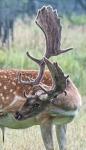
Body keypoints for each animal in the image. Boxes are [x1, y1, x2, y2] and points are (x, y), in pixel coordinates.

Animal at [0, 6, 81, 150]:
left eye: (36, 103)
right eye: (26, 99)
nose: (17, 114)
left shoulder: (62, 123)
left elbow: (63, 146)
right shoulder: (44, 119)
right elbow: (50, 147)